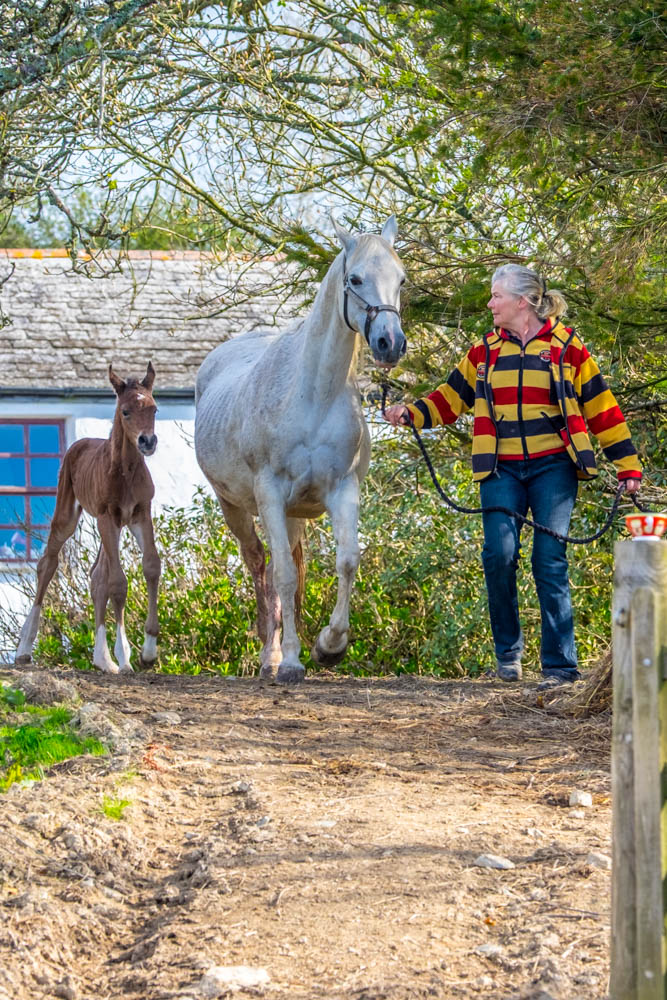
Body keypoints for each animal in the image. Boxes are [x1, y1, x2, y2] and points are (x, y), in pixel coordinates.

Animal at [15, 360, 162, 672]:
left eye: (154, 409)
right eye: (125, 411)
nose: (147, 441)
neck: (125, 472)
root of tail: (80, 443)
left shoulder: (140, 514)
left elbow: (151, 566)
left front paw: (148, 652)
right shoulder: (108, 517)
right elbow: (118, 583)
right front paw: (125, 656)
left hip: (113, 525)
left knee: (97, 576)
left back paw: (102, 660)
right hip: (71, 514)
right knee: (48, 564)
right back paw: (24, 647)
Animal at [193, 217, 408, 688]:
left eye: (401, 279)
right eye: (355, 279)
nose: (390, 342)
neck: (312, 395)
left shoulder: (342, 490)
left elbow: (347, 561)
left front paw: (329, 645)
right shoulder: (270, 493)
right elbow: (284, 577)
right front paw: (290, 662)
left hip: (292, 515)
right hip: (234, 506)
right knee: (260, 564)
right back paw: (270, 654)